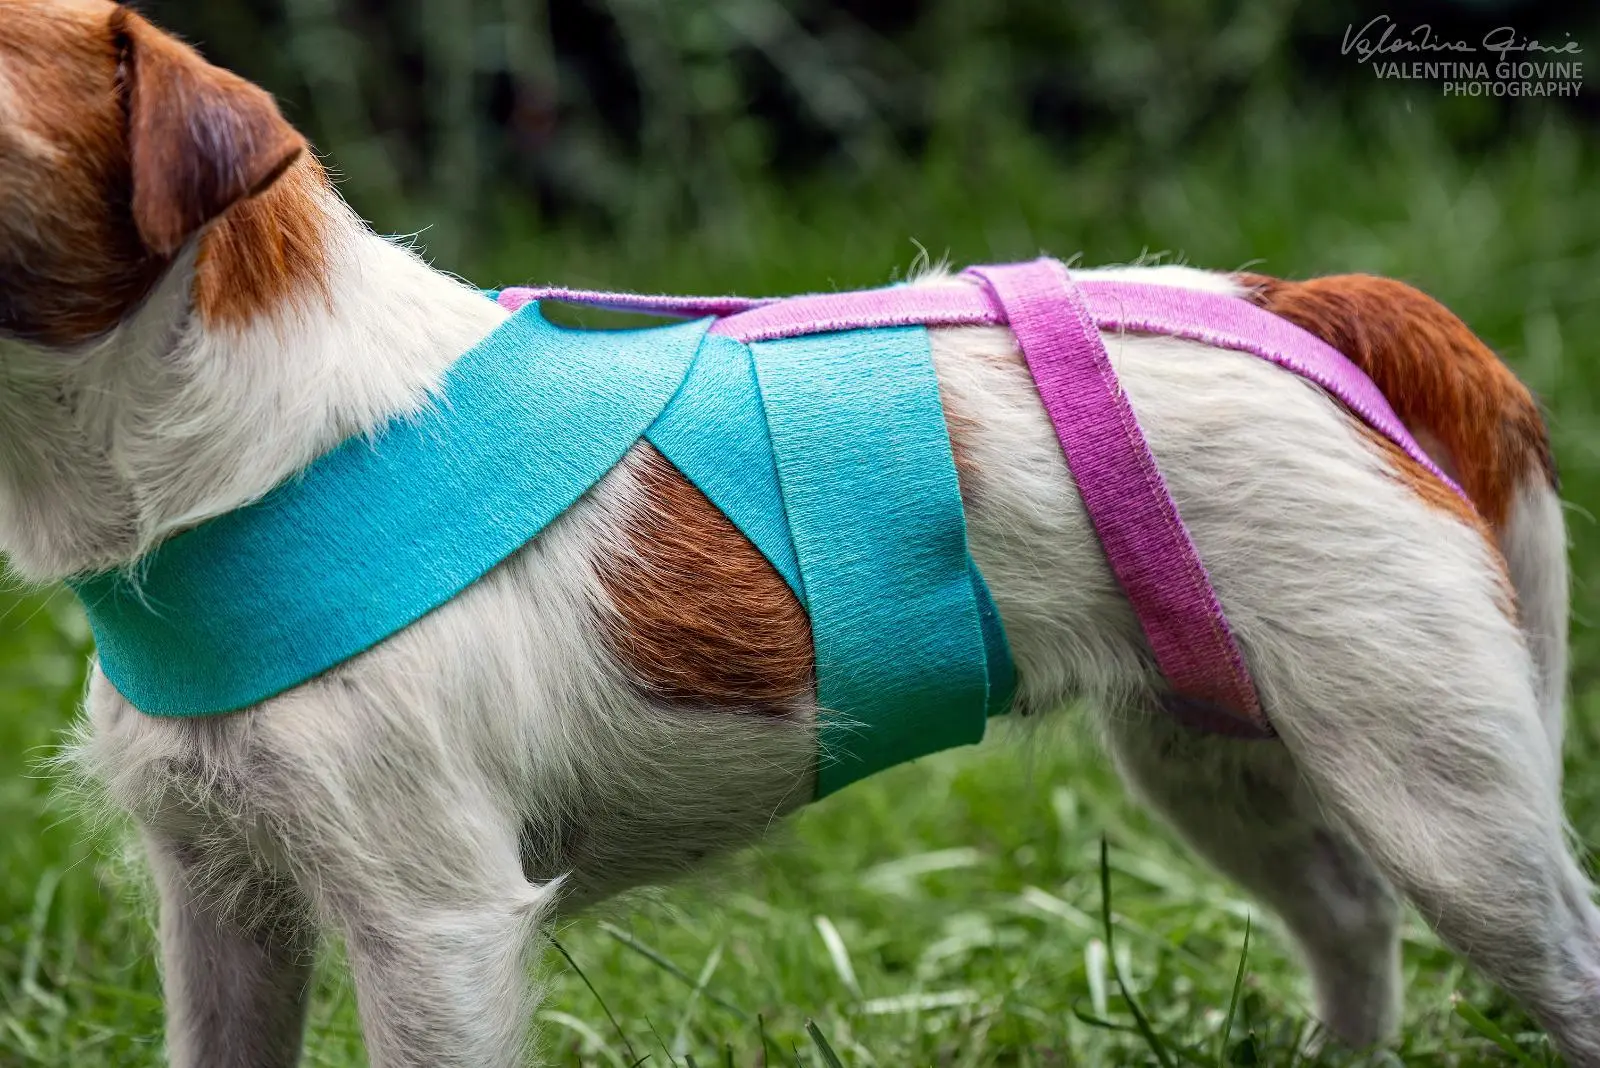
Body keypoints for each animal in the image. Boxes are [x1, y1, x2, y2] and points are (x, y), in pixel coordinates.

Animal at [0, 3, 1593, 1065]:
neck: (239, 448)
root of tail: (1309, 307)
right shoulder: (218, 904)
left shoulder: (430, 923)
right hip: (1219, 758)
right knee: (1347, 917)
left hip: (1447, 810)